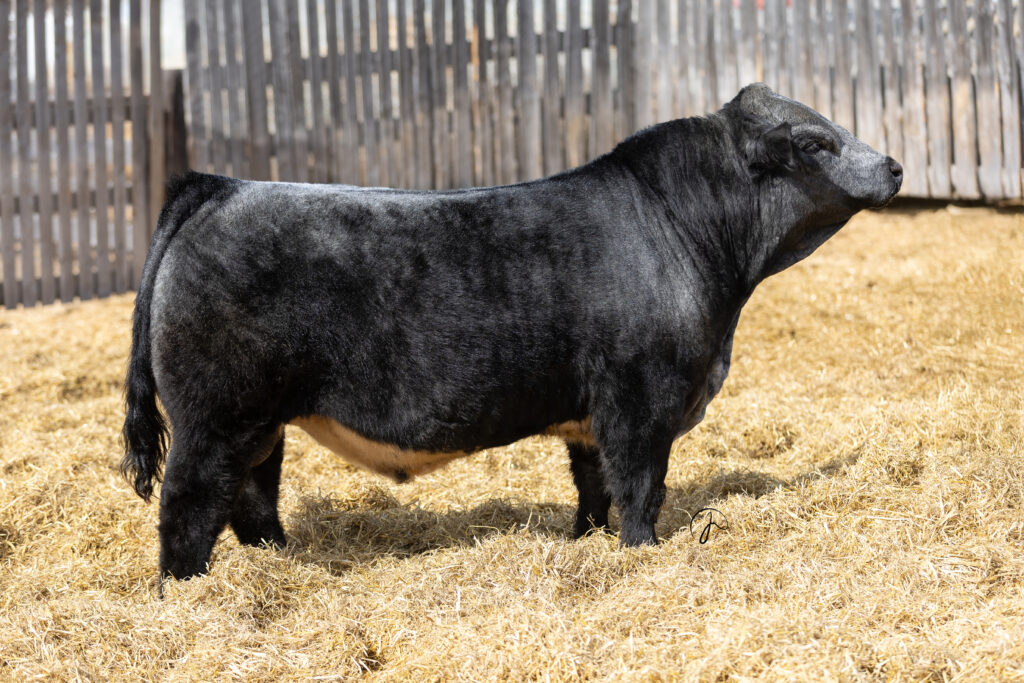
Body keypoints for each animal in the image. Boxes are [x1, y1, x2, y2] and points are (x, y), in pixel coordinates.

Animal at [121, 84, 902, 580]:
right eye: (815, 141)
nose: (894, 165)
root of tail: (220, 186)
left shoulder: (592, 416)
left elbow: (595, 489)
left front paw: (588, 541)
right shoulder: (640, 402)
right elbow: (640, 488)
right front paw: (643, 554)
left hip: (260, 425)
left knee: (253, 500)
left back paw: (276, 563)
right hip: (215, 420)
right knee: (189, 507)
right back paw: (189, 592)